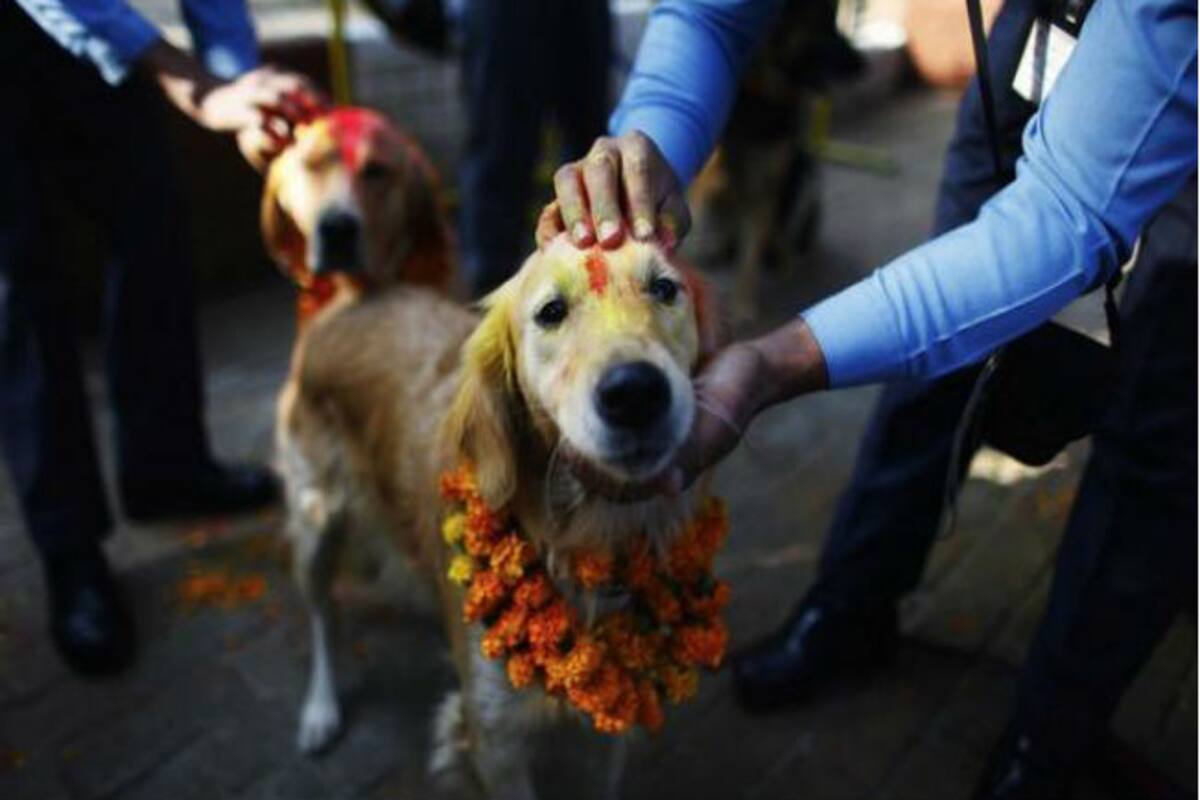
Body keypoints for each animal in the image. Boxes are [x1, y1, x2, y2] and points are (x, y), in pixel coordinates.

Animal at [274, 232, 715, 800]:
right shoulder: (491, 737)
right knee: (323, 614)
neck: (580, 535)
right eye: (551, 312)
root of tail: (354, 297)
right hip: (316, 520)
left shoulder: (614, 721)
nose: (635, 392)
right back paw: (321, 708)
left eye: (664, 288)